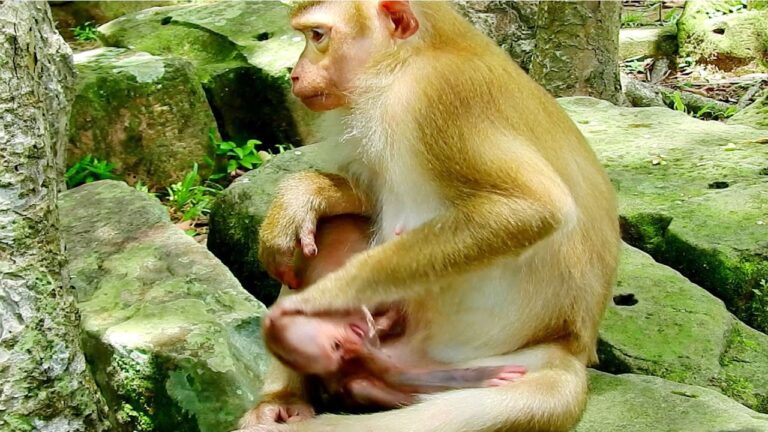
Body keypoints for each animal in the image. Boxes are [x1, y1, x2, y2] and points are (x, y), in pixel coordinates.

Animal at [238, 1, 620, 431]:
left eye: (317, 35)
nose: (295, 73)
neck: (407, 61)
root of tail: (570, 350)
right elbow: (368, 197)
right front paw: (301, 197)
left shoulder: (441, 98)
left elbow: (535, 207)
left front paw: (322, 299)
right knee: (328, 233)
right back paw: (282, 400)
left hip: (477, 361)